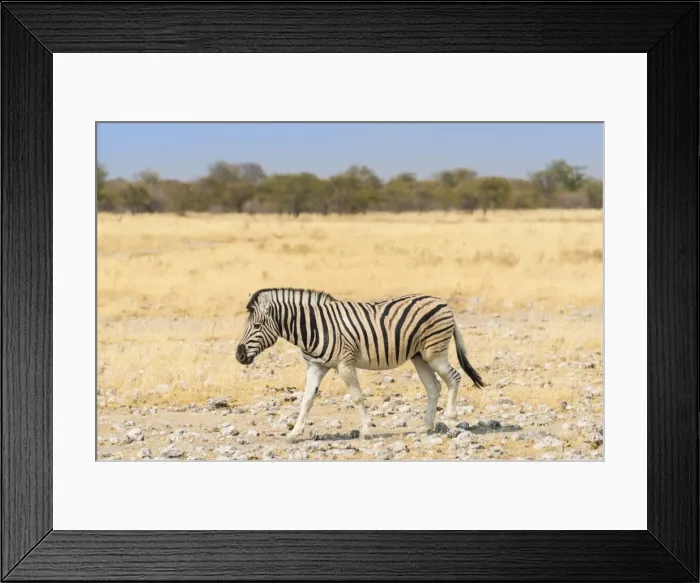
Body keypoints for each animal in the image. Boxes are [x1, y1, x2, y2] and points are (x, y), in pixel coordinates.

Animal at [235, 287, 485, 443]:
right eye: (247, 325)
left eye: (256, 326)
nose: (239, 356)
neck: (315, 327)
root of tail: (444, 303)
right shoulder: (316, 366)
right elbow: (306, 400)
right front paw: (294, 433)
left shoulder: (345, 363)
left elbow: (357, 396)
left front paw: (366, 430)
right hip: (419, 356)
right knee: (434, 387)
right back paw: (425, 427)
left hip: (435, 353)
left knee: (454, 378)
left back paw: (451, 419)